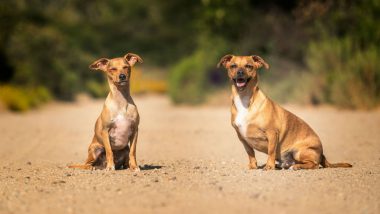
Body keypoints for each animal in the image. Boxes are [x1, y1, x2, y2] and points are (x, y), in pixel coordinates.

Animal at [218, 55, 352, 171]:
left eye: (249, 66)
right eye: (233, 66)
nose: (240, 72)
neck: (245, 99)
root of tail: (322, 153)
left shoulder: (272, 133)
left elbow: (271, 151)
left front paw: (269, 166)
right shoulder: (242, 138)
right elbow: (250, 153)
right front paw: (253, 166)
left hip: (298, 151)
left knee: (314, 164)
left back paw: (295, 166)